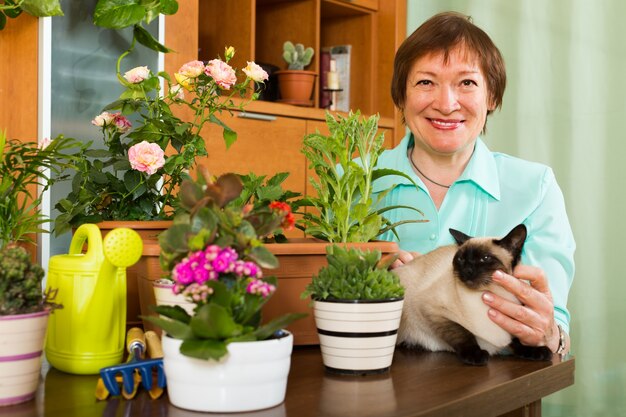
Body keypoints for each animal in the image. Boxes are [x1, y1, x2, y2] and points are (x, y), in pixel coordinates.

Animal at [394, 224, 552, 364]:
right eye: (461, 259)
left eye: (485, 258)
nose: (467, 270)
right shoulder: (432, 310)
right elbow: (463, 333)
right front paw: (476, 355)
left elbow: (517, 339)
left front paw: (537, 352)